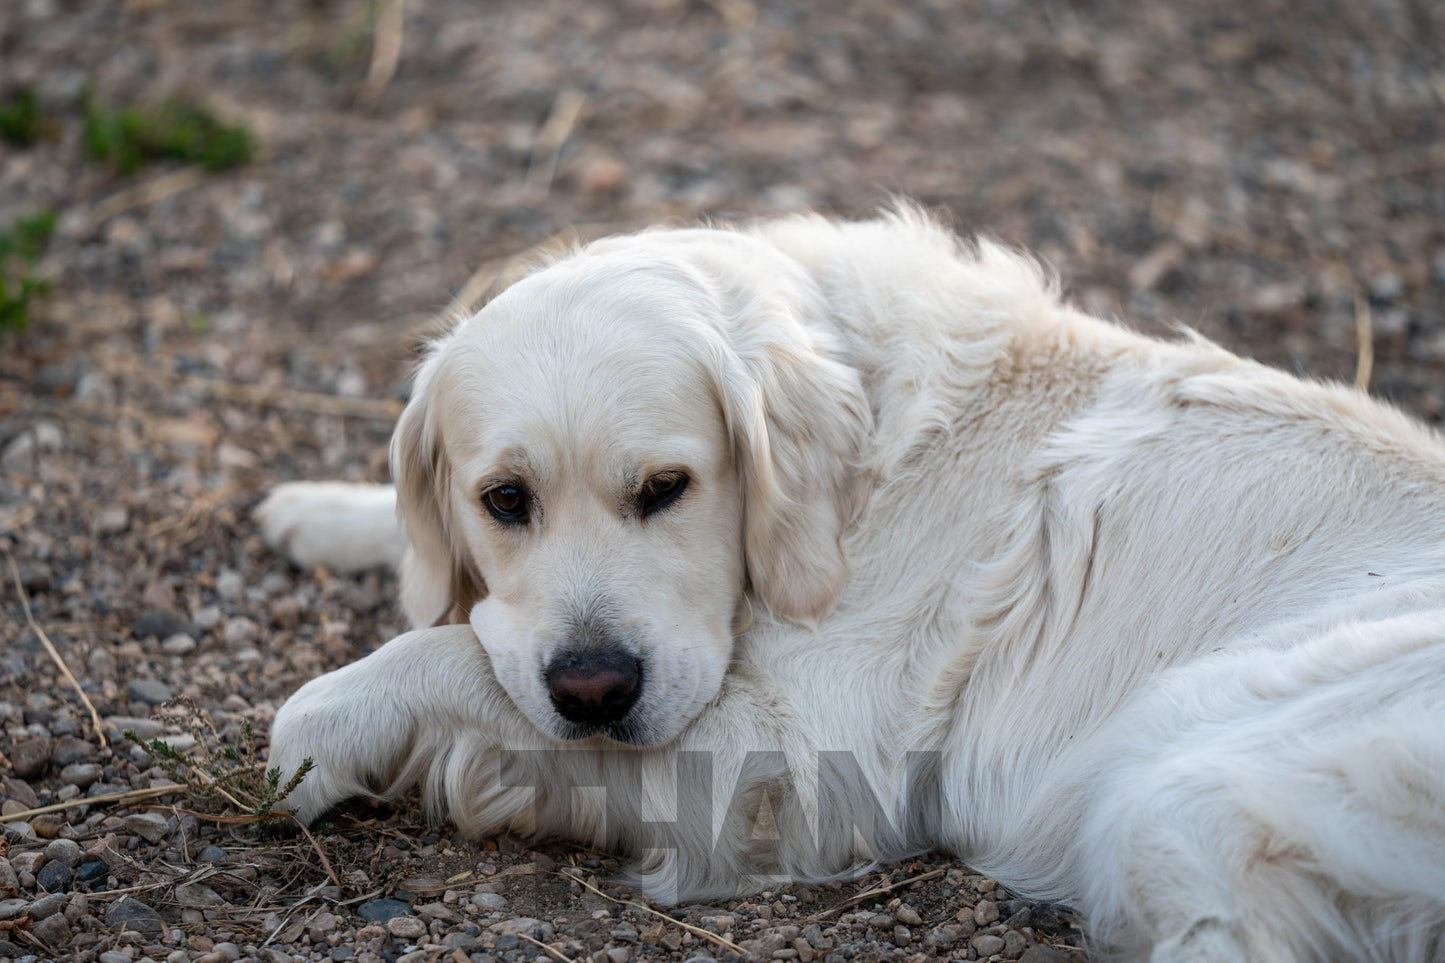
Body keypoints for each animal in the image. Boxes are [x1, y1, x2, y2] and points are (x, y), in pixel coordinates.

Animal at [260, 206, 1445, 954]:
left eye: (667, 487)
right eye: (504, 499)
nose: (595, 688)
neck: (868, 459)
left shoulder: (789, 760)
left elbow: (450, 654)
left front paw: (319, 727)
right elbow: (444, 597)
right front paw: (325, 510)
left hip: (1190, 792)